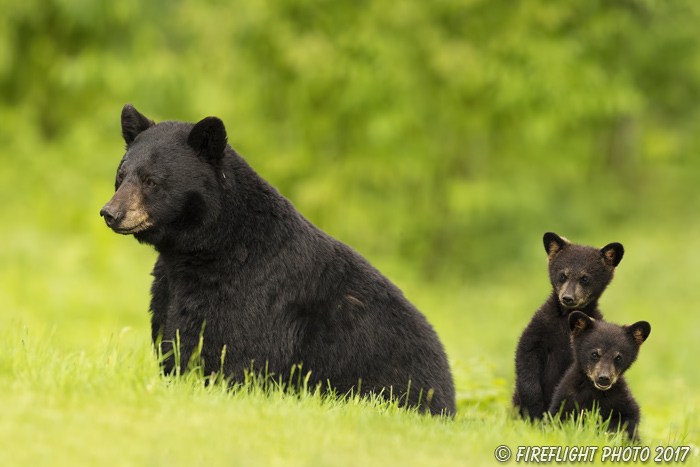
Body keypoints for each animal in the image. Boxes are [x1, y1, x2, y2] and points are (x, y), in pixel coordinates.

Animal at [101, 105, 456, 416]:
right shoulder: (171, 287)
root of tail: (450, 396)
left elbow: (240, 353)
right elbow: (173, 337)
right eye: (121, 175)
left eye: (151, 181)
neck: (207, 251)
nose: (110, 213)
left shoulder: (256, 292)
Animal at [508, 233, 624, 420]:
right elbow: (526, 354)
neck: (565, 318)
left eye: (585, 278)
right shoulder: (540, 327)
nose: (568, 298)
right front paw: (533, 405)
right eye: (563, 275)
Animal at [548, 312, 652, 440]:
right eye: (594, 354)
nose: (604, 378)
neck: (595, 391)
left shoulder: (620, 399)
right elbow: (559, 418)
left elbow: (627, 419)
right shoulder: (567, 396)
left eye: (618, 358)